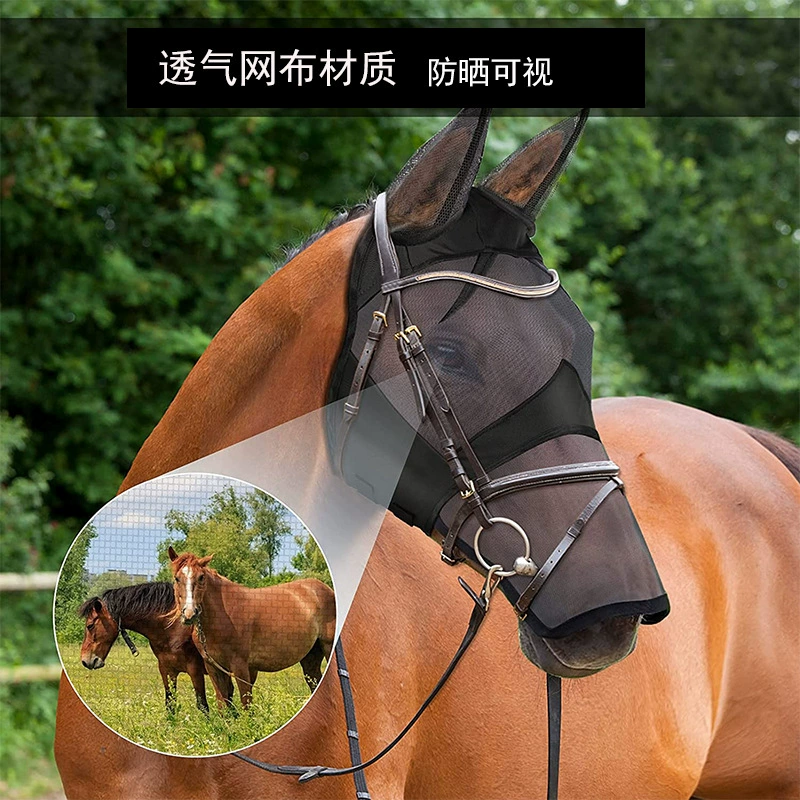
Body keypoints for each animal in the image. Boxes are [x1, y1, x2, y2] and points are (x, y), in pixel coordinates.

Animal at [77, 582, 209, 713]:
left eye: (90, 625)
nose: (85, 661)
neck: (174, 628)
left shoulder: (195, 670)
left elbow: (203, 705)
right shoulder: (167, 670)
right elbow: (170, 704)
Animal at [166, 548, 336, 710]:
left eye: (201, 577)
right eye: (177, 578)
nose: (190, 614)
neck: (222, 617)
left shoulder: (240, 666)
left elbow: (246, 704)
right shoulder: (214, 667)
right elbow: (223, 705)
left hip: (327, 647)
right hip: (310, 656)